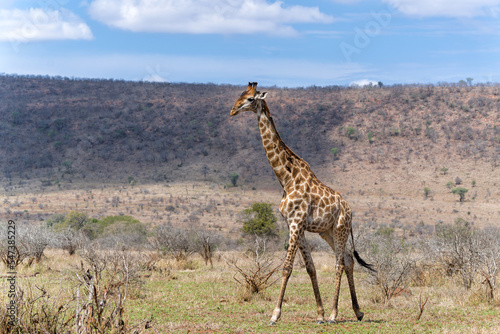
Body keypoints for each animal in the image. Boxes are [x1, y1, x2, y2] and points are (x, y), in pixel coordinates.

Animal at [229, 82, 374, 324]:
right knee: (348, 259)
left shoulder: (297, 223)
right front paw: (319, 314)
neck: (286, 179)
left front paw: (275, 315)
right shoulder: (294, 225)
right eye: (239, 95)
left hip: (341, 228)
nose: (232, 111)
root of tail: (350, 210)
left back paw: (335, 314)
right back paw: (357, 311)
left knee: (339, 262)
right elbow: (310, 267)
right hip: (327, 232)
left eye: (250, 99)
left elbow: (287, 267)